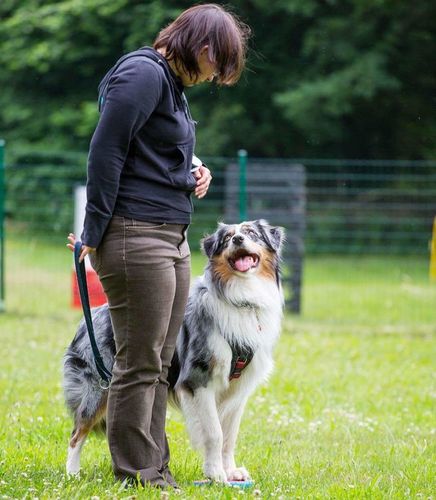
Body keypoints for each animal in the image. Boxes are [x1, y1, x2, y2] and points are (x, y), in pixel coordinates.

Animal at [64, 219, 284, 482]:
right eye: (227, 238)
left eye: (251, 233)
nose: (238, 239)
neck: (243, 299)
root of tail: (89, 316)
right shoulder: (198, 380)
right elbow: (215, 432)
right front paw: (216, 474)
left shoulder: (237, 390)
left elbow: (229, 436)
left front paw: (231, 472)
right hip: (97, 388)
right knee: (77, 432)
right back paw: (72, 473)